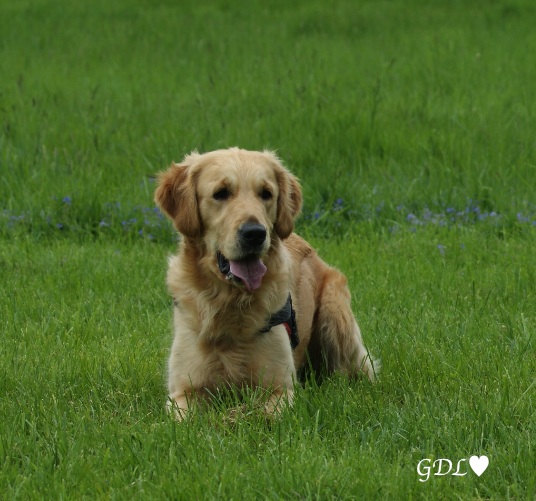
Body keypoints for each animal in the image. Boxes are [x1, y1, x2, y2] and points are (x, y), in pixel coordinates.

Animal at [155, 147, 376, 418]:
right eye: (220, 193)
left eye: (266, 194)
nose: (255, 233)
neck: (231, 301)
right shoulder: (183, 392)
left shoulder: (281, 388)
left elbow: (265, 415)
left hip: (335, 316)